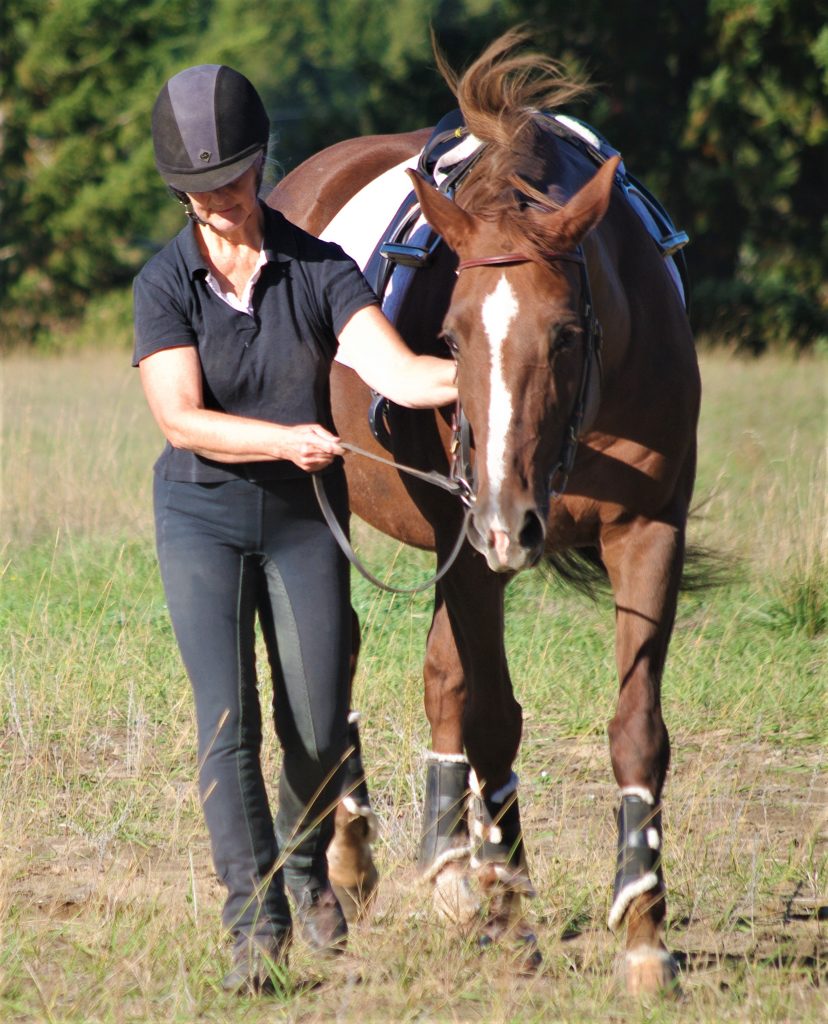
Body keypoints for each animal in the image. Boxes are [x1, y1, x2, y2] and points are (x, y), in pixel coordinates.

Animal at [269, 30, 700, 995]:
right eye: (451, 337)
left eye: (567, 334)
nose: (511, 520)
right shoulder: (470, 543)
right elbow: (495, 717)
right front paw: (511, 911)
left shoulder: (650, 528)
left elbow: (636, 730)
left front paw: (642, 928)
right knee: (341, 651)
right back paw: (363, 858)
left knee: (439, 680)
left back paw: (448, 870)